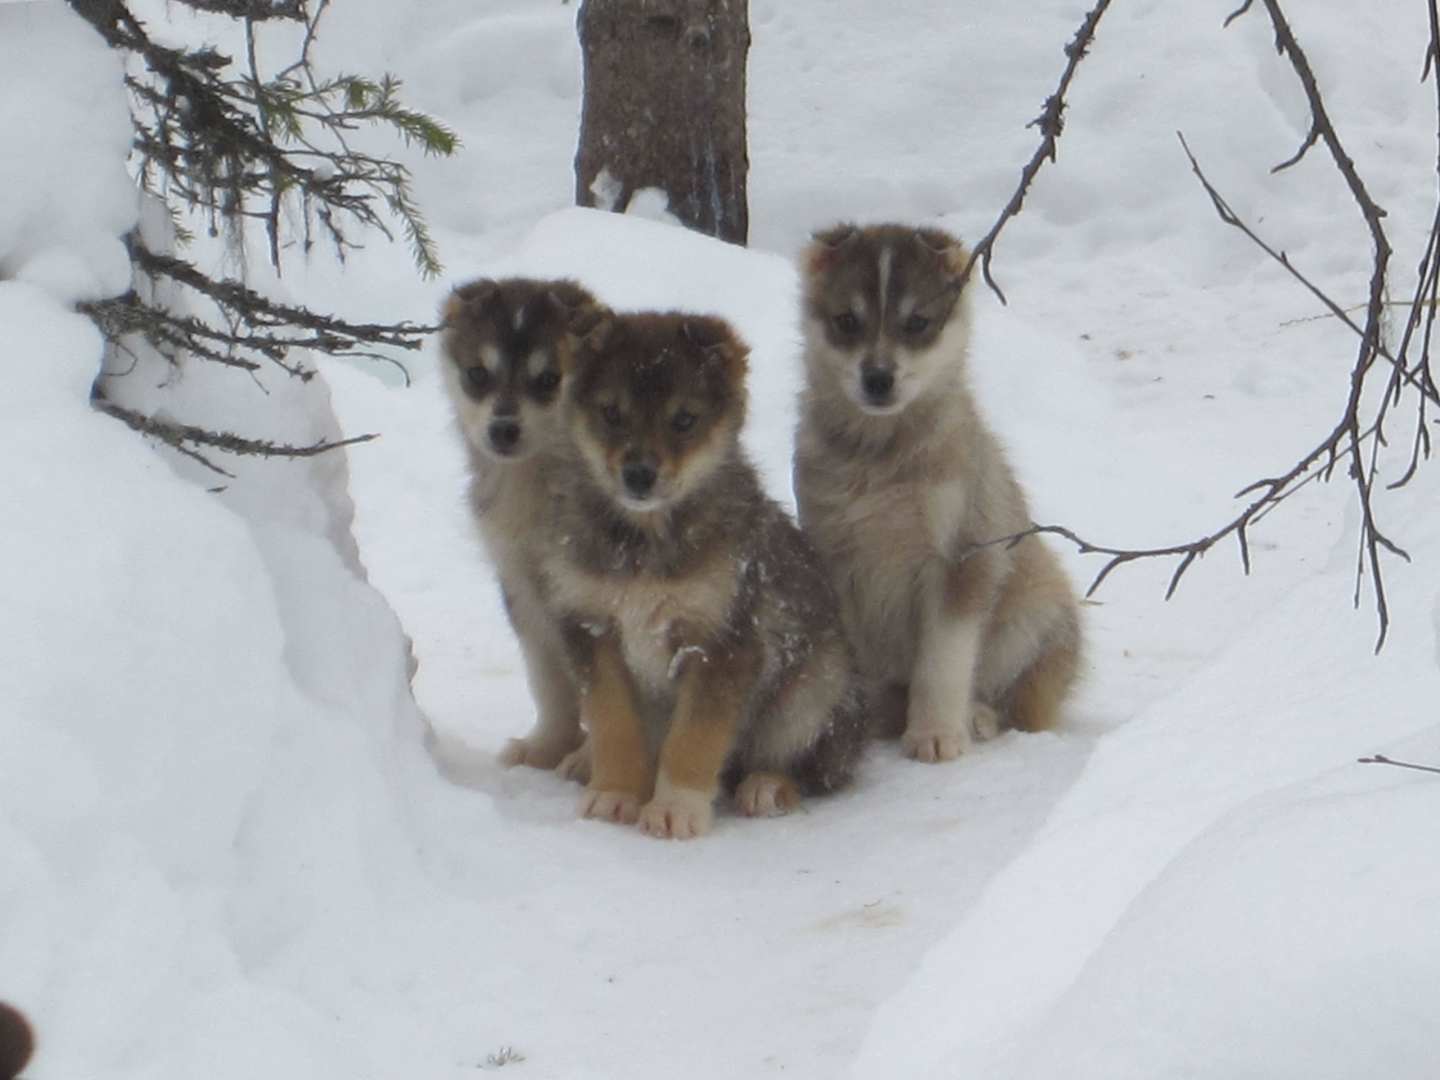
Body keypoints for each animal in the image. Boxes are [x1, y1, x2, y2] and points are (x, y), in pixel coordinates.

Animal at [439, 277, 606, 777]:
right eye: (478, 374)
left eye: (549, 379)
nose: (503, 429)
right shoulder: (519, 583)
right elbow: (546, 676)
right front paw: (547, 746)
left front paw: (590, 760)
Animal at [540, 311, 866, 838]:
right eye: (611, 413)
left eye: (684, 420)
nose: (638, 475)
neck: (642, 545)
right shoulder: (593, 629)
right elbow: (613, 723)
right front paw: (615, 794)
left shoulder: (721, 643)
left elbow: (694, 738)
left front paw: (676, 809)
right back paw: (585, 760)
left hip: (814, 691)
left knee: (811, 765)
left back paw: (767, 786)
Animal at [794, 223, 1082, 762]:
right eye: (846, 320)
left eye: (917, 322)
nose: (878, 378)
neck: (880, 459)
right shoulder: (833, 554)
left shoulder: (960, 558)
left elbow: (943, 661)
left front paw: (936, 735)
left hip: (1033, 614)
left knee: (1020, 702)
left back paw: (979, 716)